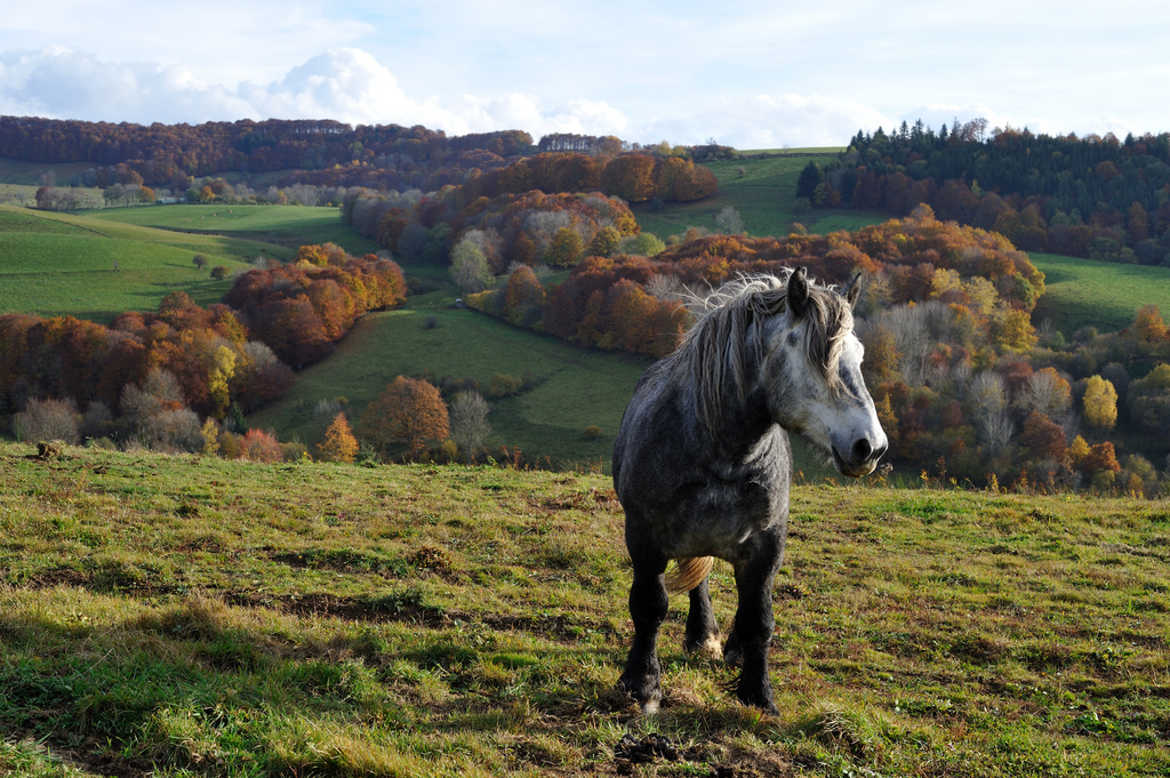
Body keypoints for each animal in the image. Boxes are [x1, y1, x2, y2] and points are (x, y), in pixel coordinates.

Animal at [613, 266, 884, 711]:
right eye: (816, 357)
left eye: (858, 357)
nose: (871, 446)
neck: (723, 456)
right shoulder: (644, 538)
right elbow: (649, 607)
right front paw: (642, 684)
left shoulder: (767, 545)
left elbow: (760, 617)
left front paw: (758, 693)